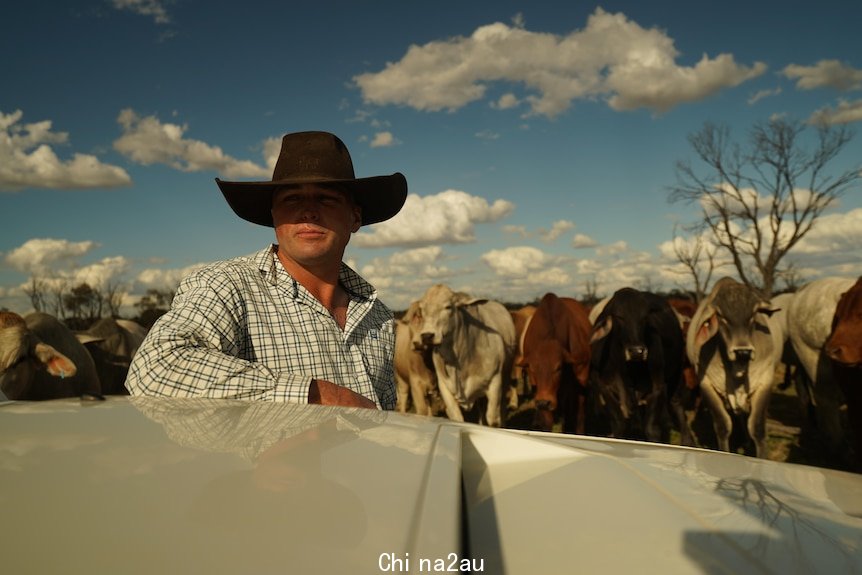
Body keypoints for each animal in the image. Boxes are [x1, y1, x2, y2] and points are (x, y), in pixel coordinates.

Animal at [516, 294, 592, 434]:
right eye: (533, 369)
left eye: (558, 367)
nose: (543, 402)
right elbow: (546, 421)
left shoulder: (582, 377)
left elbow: (579, 414)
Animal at [588, 290, 696, 448]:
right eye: (619, 316)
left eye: (644, 317)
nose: (637, 351)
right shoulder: (604, 388)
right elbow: (619, 424)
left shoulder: (657, 388)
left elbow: (651, 429)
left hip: (676, 375)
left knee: (676, 404)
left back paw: (687, 442)